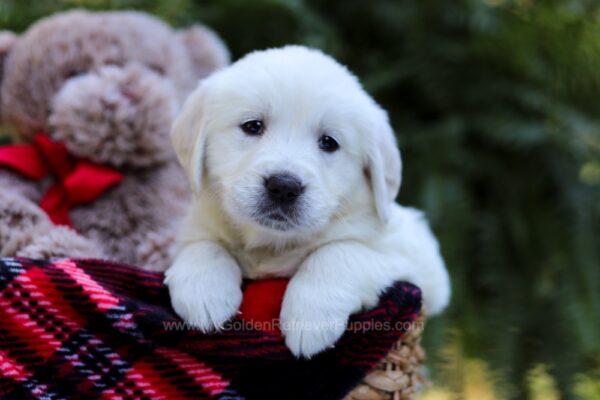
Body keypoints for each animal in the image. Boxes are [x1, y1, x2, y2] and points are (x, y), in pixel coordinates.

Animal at [164, 45, 450, 358]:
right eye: (253, 126)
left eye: (328, 142)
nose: (283, 187)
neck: (271, 244)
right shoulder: (196, 225)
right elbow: (203, 244)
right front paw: (203, 292)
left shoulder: (416, 259)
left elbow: (339, 252)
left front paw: (310, 319)